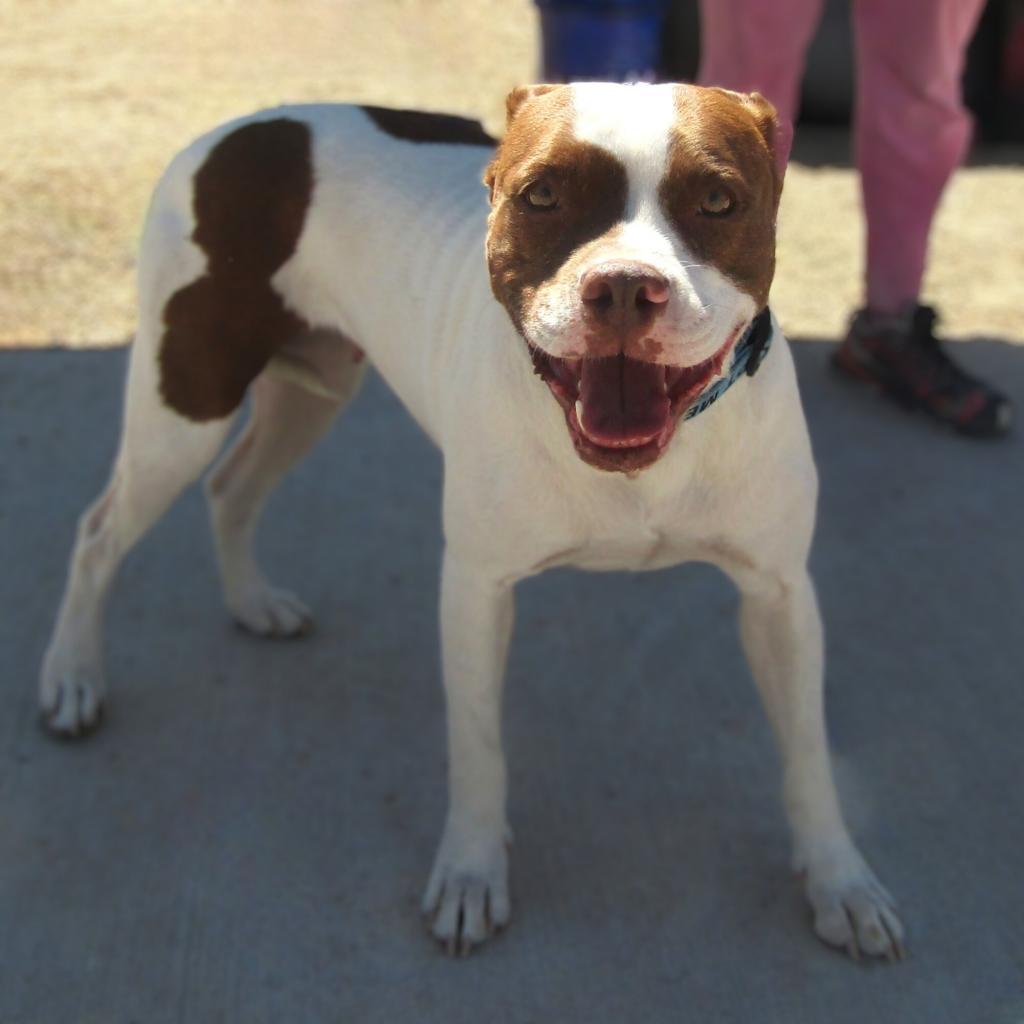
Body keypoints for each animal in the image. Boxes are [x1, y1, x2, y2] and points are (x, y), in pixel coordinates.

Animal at [37, 81, 905, 958]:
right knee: (99, 533)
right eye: (542, 194)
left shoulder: (780, 596)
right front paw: (470, 873)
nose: (626, 288)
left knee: (233, 488)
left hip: (310, 389)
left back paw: (253, 603)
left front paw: (840, 880)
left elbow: (808, 753)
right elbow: (478, 745)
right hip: (183, 403)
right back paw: (72, 679)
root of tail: (241, 127)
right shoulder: (477, 589)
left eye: (719, 200)